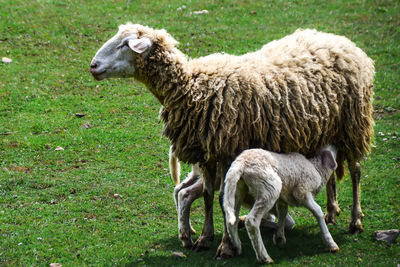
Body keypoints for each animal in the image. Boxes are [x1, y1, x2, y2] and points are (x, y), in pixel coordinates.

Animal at [90, 24, 376, 258]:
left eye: (124, 44)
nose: (92, 66)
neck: (192, 88)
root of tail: (339, 40)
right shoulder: (207, 153)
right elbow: (207, 195)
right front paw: (205, 237)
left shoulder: (229, 150)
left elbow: (222, 199)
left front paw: (226, 245)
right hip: (327, 128)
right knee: (331, 171)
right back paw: (331, 211)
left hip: (354, 125)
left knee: (355, 171)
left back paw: (355, 220)